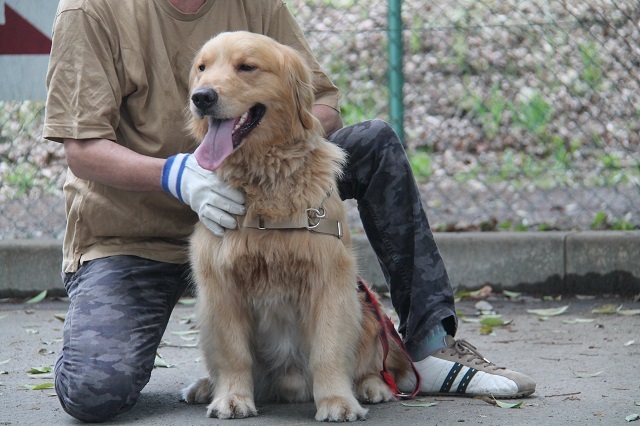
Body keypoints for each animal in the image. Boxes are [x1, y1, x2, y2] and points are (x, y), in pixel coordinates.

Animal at [180, 31, 412, 422]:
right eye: (202, 68)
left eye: (247, 67)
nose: (202, 97)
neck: (266, 182)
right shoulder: (218, 284)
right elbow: (233, 353)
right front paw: (232, 397)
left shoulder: (330, 277)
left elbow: (329, 349)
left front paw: (337, 401)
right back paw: (205, 386)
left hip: (365, 306)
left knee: (375, 360)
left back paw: (373, 386)